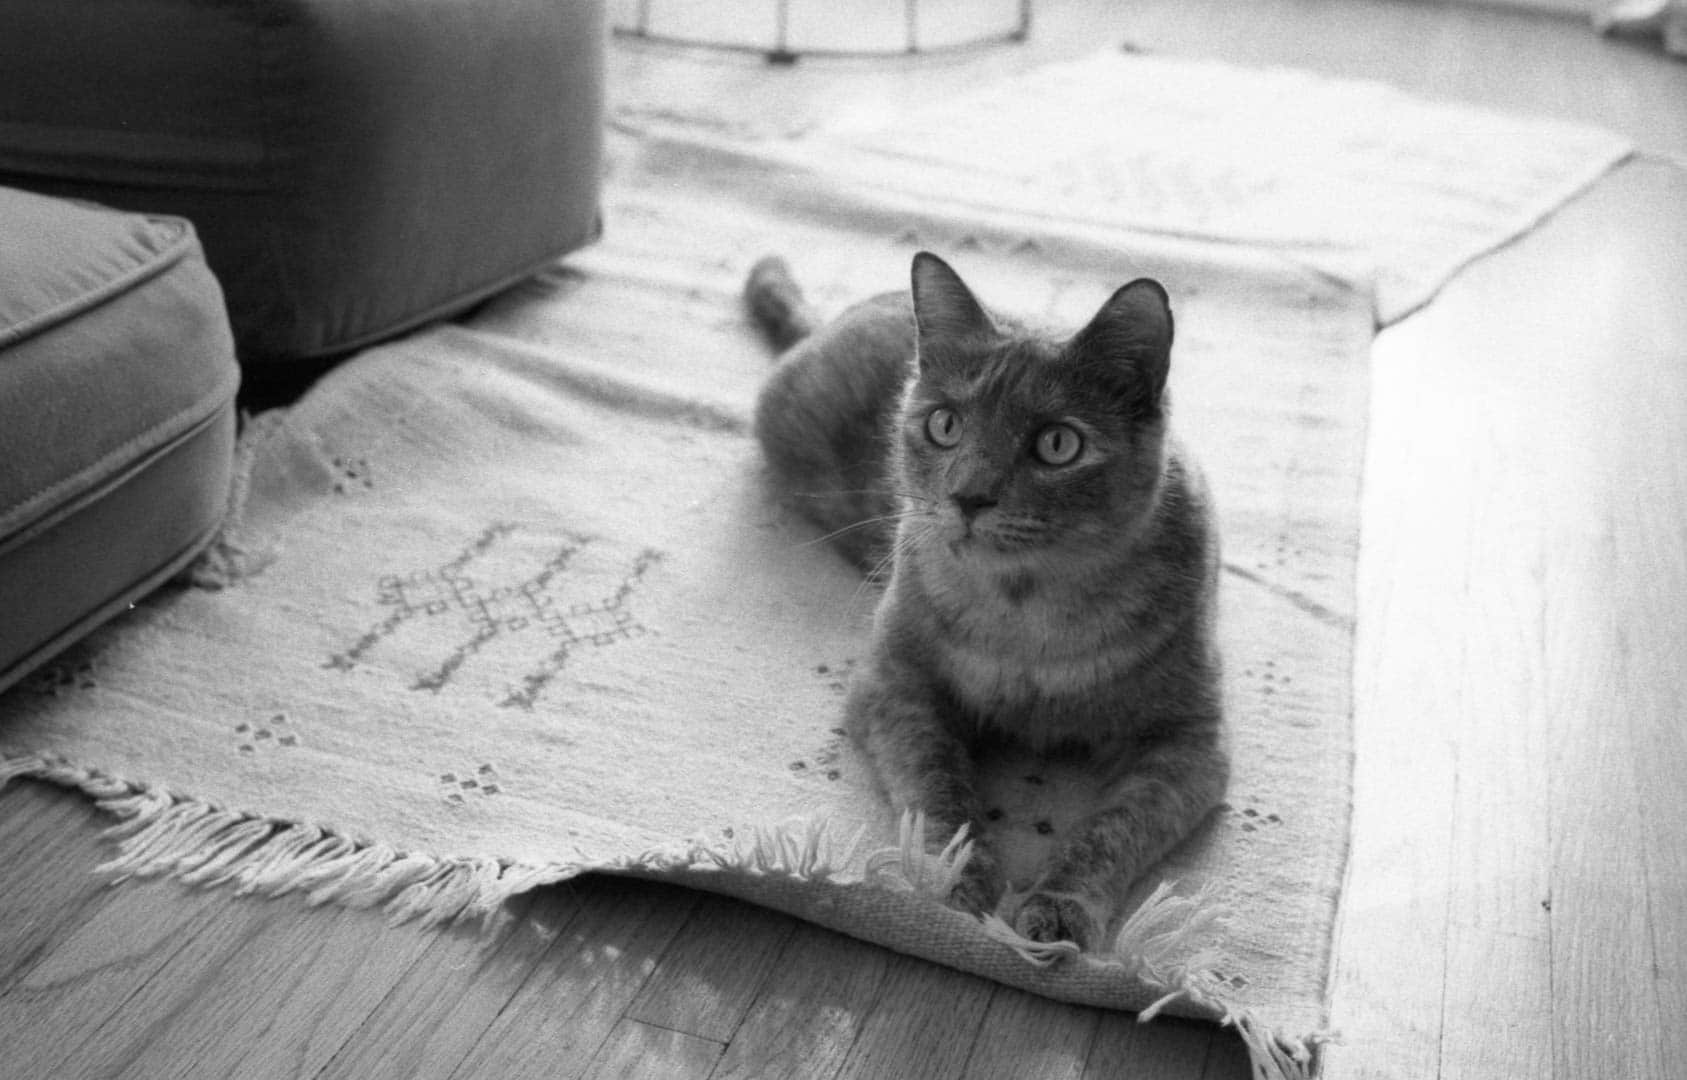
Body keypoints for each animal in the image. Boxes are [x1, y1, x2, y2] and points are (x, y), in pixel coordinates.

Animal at [749, 251, 1228, 945]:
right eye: (944, 425)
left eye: (1058, 443)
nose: (968, 496)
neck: (1028, 617)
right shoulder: (896, 687)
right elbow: (937, 788)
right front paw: (958, 879)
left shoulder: (1187, 743)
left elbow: (1115, 829)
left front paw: (1058, 908)